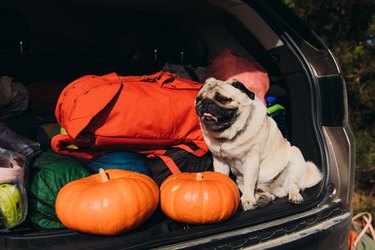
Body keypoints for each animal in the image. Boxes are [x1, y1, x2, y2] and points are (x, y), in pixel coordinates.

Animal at [195, 78, 322, 211]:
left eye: (222, 99)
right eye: (199, 99)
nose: (206, 103)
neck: (226, 137)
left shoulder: (251, 161)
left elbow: (250, 182)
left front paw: (248, 201)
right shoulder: (220, 161)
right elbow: (223, 176)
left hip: (295, 157)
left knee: (293, 186)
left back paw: (294, 196)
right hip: (242, 181)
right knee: (266, 192)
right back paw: (264, 198)